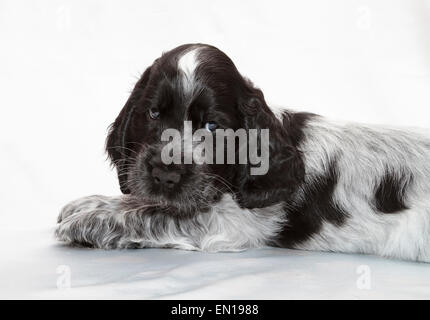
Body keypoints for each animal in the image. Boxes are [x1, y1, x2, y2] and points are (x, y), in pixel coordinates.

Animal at [56, 42, 430, 262]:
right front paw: (87, 203)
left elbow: (154, 213)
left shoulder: (225, 224)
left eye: (212, 127)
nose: (164, 173)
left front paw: (85, 219)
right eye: (153, 113)